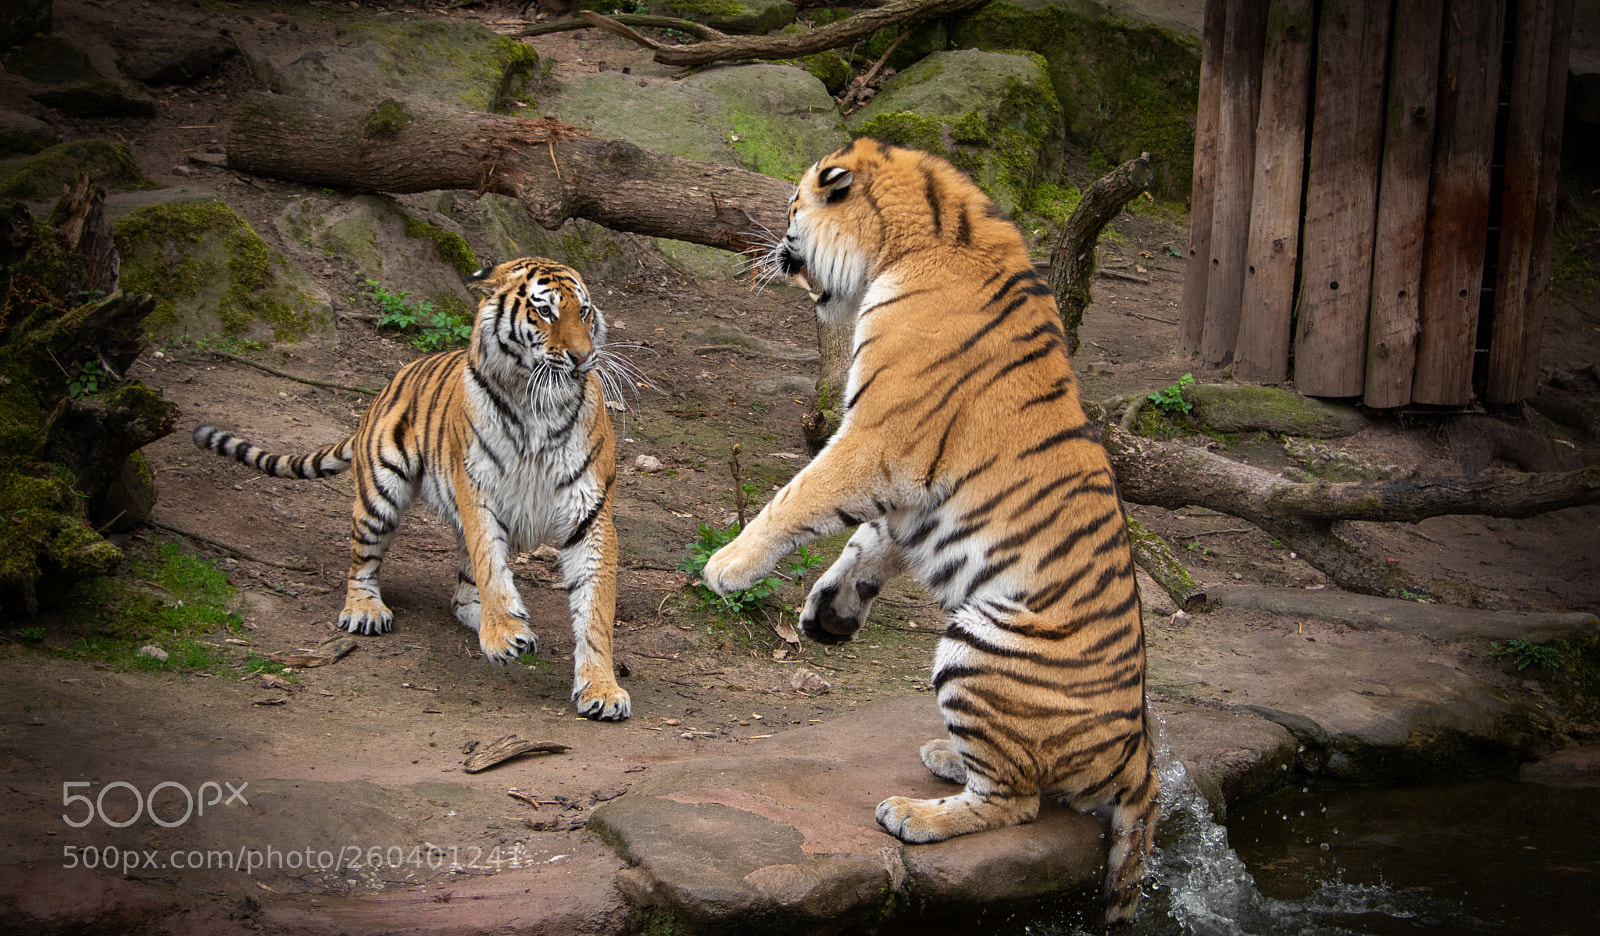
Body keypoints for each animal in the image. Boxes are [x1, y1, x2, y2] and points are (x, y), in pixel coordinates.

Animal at [193, 257, 632, 721]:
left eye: (584, 312)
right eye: (545, 311)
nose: (583, 358)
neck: (538, 406)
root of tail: (389, 384)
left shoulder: (589, 513)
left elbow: (594, 609)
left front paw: (601, 688)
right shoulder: (478, 492)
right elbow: (491, 568)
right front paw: (503, 634)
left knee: (462, 592)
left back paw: (488, 617)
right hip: (380, 491)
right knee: (362, 561)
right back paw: (365, 610)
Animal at [704, 141, 1157, 924]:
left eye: (793, 204)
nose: (775, 251)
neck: (919, 238)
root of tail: (1139, 752)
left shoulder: (877, 438)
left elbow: (798, 498)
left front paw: (727, 566)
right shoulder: (907, 485)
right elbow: (866, 543)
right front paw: (828, 613)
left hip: (982, 645)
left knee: (1017, 802)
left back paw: (913, 814)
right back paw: (945, 756)